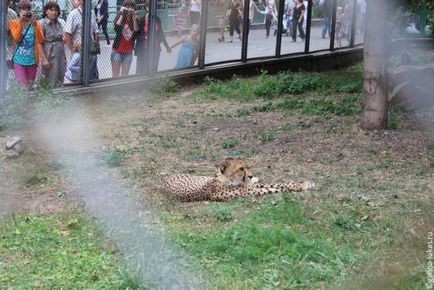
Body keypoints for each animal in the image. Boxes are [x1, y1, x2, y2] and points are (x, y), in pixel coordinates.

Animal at [164, 159, 314, 202]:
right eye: (241, 168)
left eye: (247, 167)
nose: (251, 175)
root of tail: (167, 179)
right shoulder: (250, 191)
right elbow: (276, 187)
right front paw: (304, 185)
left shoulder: (251, 186)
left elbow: (276, 184)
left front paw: (305, 183)